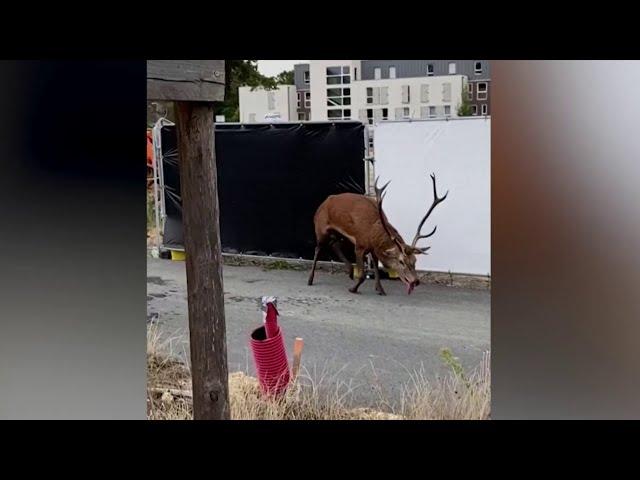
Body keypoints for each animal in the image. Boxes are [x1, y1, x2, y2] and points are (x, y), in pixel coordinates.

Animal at [308, 171, 448, 294]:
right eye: (401, 261)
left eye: (415, 260)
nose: (415, 281)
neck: (373, 234)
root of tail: (324, 202)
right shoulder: (360, 244)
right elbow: (363, 274)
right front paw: (353, 289)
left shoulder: (373, 249)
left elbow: (376, 267)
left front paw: (380, 289)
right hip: (320, 228)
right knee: (318, 248)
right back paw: (310, 279)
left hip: (339, 234)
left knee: (334, 244)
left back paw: (350, 271)